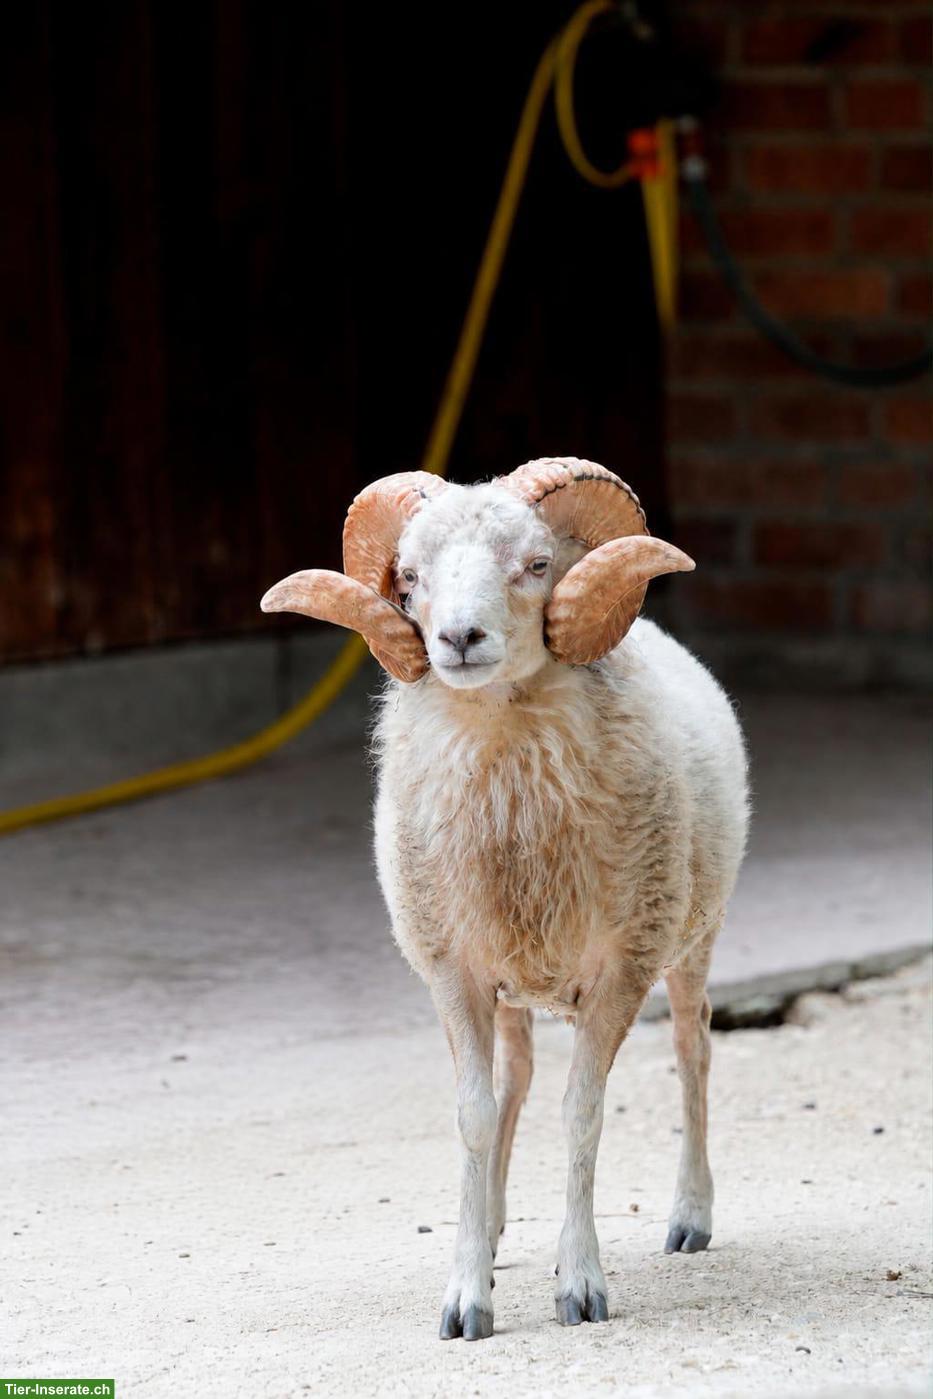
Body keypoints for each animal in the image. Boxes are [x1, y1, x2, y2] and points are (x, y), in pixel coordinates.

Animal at [261, 457, 749, 1342]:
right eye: (409, 579)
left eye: (535, 563)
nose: (458, 638)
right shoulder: (453, 972)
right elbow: (475, 1116)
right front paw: (466, 1292)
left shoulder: (619, 970)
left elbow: (581, 1112)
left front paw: (580, 1282)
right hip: (513, 979)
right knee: (515, 1077)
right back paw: (489, 1224)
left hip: (692, 930)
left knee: (692, 1047)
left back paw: (690, 1214)